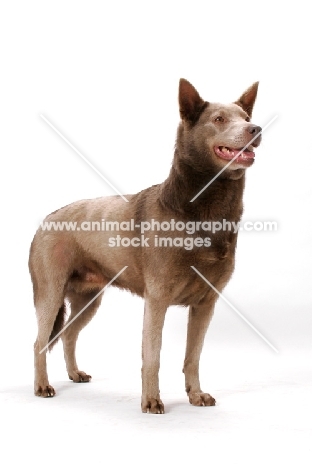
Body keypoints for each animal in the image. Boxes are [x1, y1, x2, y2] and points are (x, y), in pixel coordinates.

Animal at [29, 79, 262, 414]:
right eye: (219, 119)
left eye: (245, 116)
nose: (255, 129)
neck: (201, 210)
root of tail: (47, 218)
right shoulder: (157, 300)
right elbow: (152, 356)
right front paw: (151, 400)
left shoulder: (205, 304)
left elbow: (193, 357)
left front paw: (196, 395)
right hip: (50, 293)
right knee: (40, 341)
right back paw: (42, 386)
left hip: (88, 298)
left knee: (69, 334)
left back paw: (74, 374)